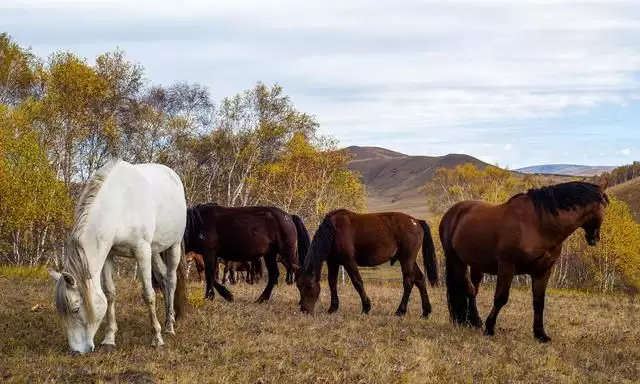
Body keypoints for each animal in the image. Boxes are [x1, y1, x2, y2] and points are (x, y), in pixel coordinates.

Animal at [47, 158, 188, 354]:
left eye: (75, 309)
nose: (76, 351)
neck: (119, 206)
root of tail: (173, 175)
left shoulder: (142, 252)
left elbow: (148, 294)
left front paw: (157, 338)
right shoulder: (109, 254)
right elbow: (109, 294)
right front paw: (109, 339)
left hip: (173, 246)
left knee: (172, 279)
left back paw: (169, 327)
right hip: (154, 251)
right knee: (163, 278)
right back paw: (171, 318)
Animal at [184, 202, 312, 304]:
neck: (198, 223)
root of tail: (289, 217)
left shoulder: (209, 253)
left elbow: (209, 275)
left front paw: (209, 296)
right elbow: (212, 276)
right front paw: (226, 295)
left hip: (287, 253)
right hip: (270, 254)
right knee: (274, 274)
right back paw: (262, 299)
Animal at [296, 208, 440, 316]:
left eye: (310, 286)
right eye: (298, 286)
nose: (304, 310)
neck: (333, 230)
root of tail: (416, 221)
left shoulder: (349, 261)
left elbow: (357, 283)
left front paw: (366, 307)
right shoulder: (333, 262)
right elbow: (332, 283)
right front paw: (333, 308)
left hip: (407, 260)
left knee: (409, 282)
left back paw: (400, 311)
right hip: (408, 260)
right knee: (420, 280)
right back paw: (426, 311)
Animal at [440, 180, 608, 342]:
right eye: (605, 205)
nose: (594, 238)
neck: (539, 225)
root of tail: (452, 212)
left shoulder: (542, 271)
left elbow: (539, 302)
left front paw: (540, 334)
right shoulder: (507, 267)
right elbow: (501, 298)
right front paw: (490, 328)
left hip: (477, 265)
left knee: (473, 289)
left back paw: (471, 321)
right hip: (457, 262)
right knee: (469, 289)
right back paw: (476, 321)